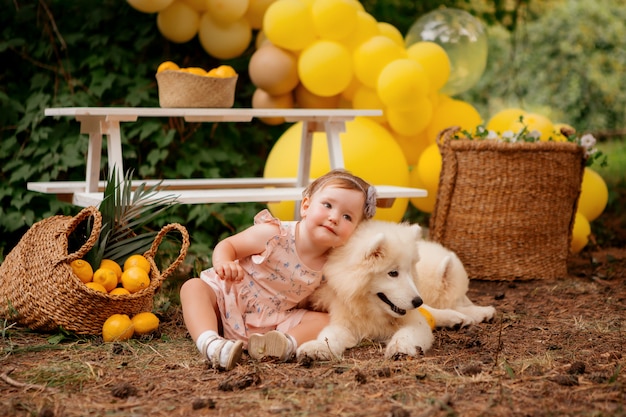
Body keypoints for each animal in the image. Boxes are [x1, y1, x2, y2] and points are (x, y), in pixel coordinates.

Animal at [294, 219, 494, 360]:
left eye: (409, 270)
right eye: (393, 273)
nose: (417, 301)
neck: (371, 309)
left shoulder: (413, 318)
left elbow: (409, 332)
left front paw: (400, 348)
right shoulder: (343, 319)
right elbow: (329, 336)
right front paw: (316, 348)